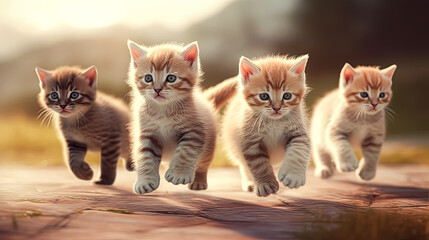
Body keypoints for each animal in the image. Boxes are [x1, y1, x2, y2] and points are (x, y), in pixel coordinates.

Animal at [222, 54, 310, 197]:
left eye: (287, 95)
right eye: (264, 96)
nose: (276, 108)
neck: (274, 122)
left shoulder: (298, 132)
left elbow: (299, 149)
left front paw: (293, 176)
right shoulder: (250, 142)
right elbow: (259, 165)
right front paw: (266, 184)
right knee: (243, 164)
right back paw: (250, 182)